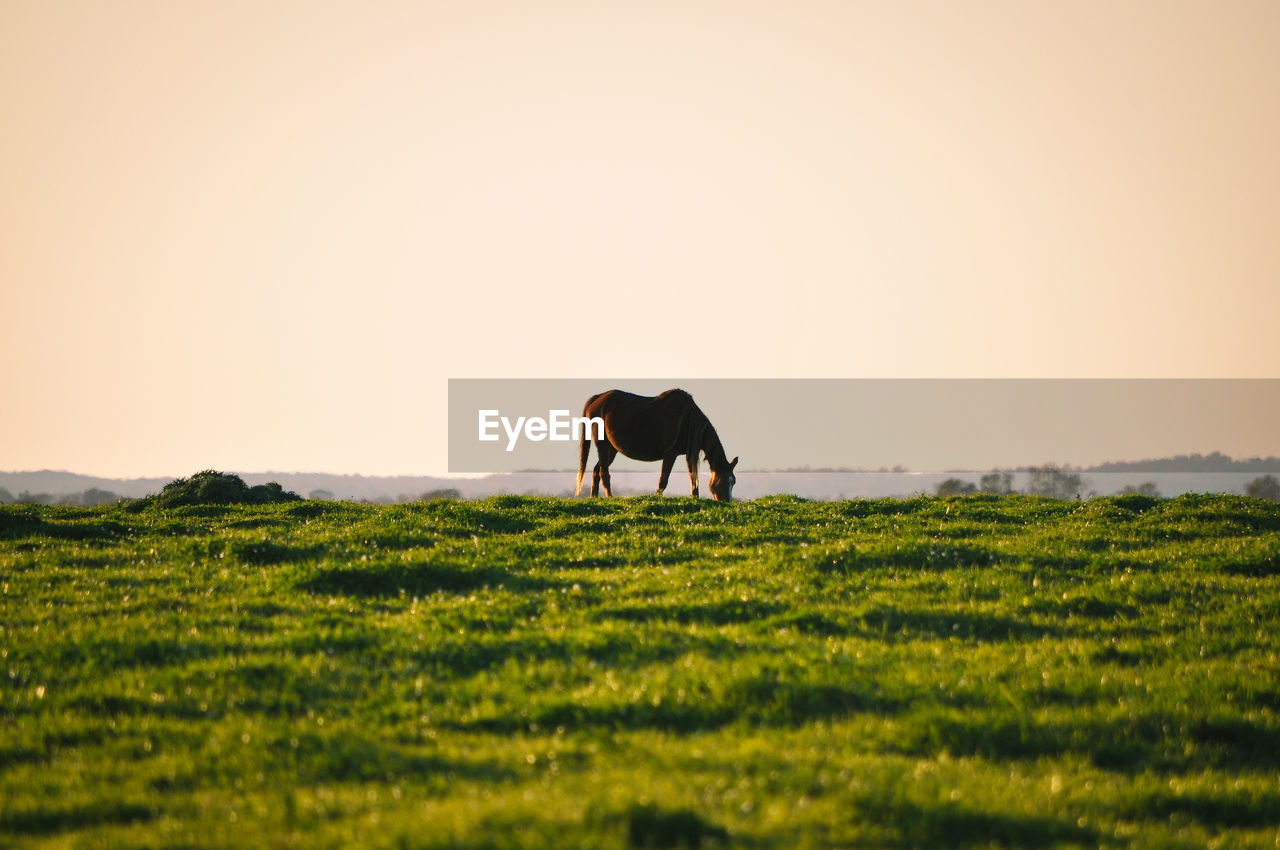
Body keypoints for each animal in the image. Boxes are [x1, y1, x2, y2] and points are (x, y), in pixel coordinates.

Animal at [573, 389, 742, 501]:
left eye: (733, 481)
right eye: (724, 480)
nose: (726, 502)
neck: (687, 419)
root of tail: (596, 399)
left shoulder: (689, 453)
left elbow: (693, 477)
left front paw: (695, 498)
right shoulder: (670, 454)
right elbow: (663, 480)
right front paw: (657, 498)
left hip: (612, 449)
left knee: (597, 470)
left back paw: (594, 498)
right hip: (602, 445)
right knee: (603, 472)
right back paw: (609, 496)